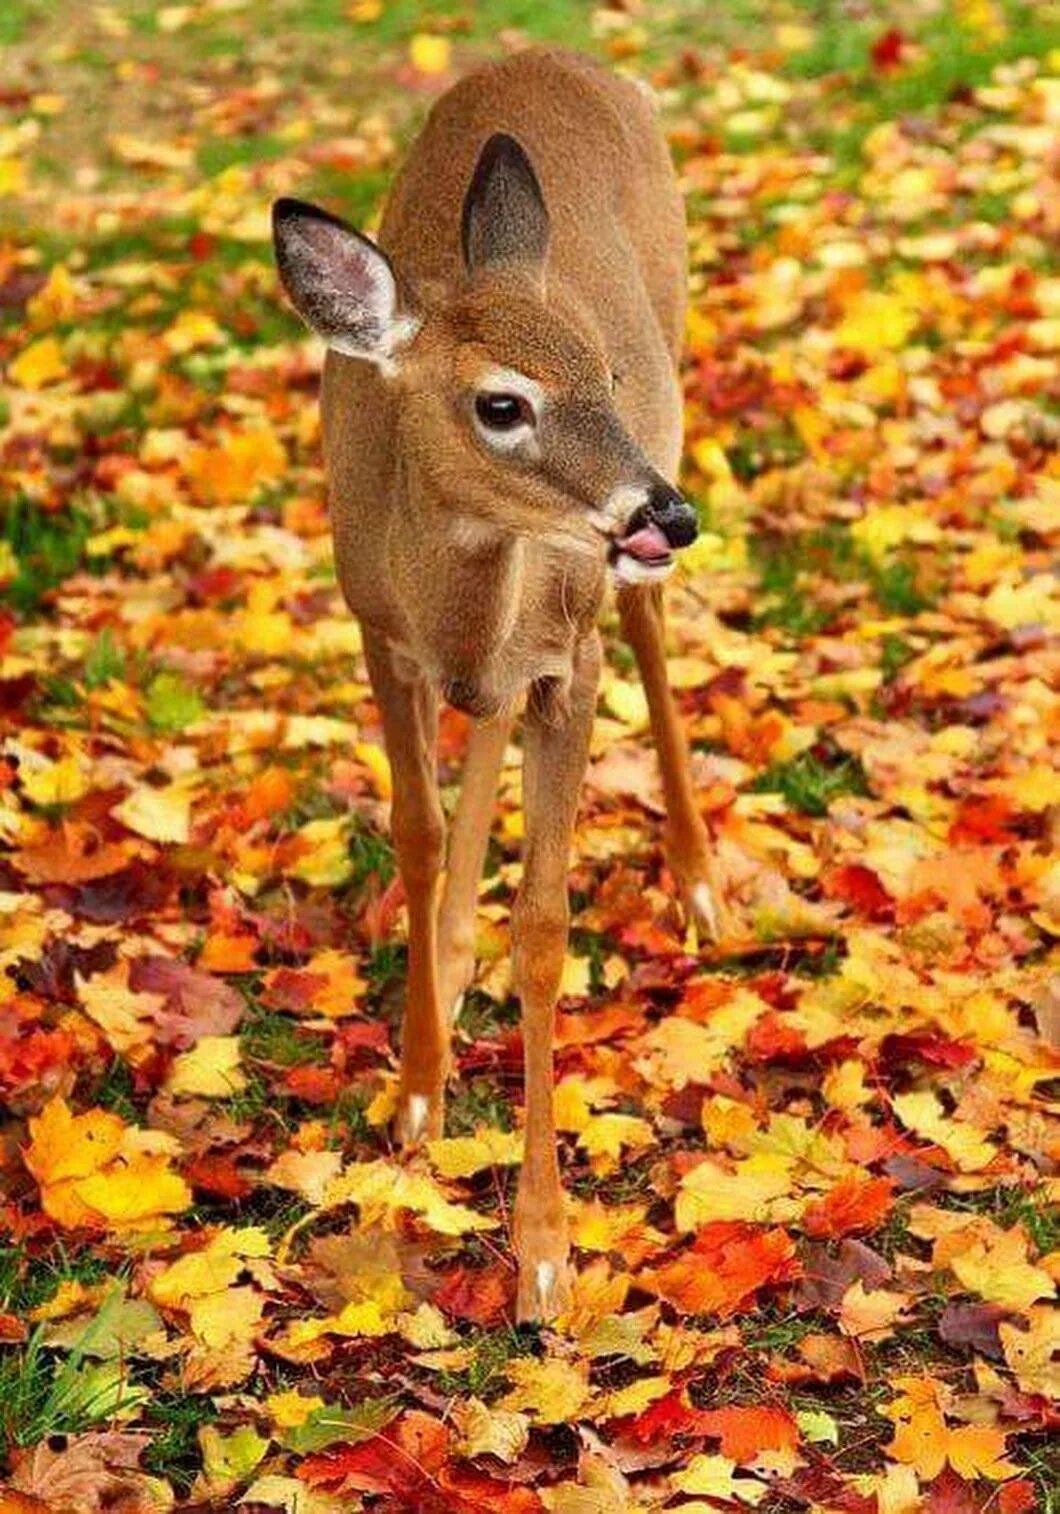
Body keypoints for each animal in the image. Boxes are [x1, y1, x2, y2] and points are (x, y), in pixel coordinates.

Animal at [271, 44, 729, 1326]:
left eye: (605, 370)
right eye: (501, 403)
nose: (666, 509)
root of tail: (559, 53)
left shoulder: (569, 658)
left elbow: (545, 921)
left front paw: (541, 1249)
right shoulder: (378, 632)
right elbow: (416, 832)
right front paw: (417, 1089)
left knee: (649, 627)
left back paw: (698, 881)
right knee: (483, 725)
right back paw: (454, 953)